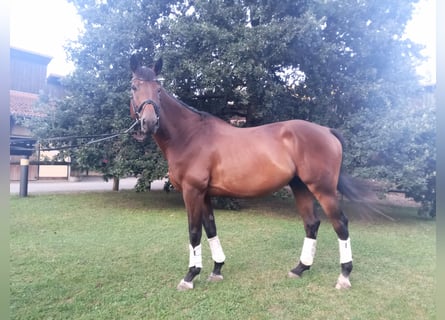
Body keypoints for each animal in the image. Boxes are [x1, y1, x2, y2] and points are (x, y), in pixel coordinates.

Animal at [127, 54, 364, 290]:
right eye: (134, 87)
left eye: (158, 89)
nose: (149, 122)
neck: (190, 136)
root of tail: (326, 131)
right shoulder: (204, 194)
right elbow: (211, 228)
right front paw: (217, 269)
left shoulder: (192, 191)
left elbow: (194, 232)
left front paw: (190, 276)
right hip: (300, 186)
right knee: (312, 224)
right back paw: (299, 269)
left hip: (323, 190)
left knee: (340, 224)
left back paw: (344, 276)